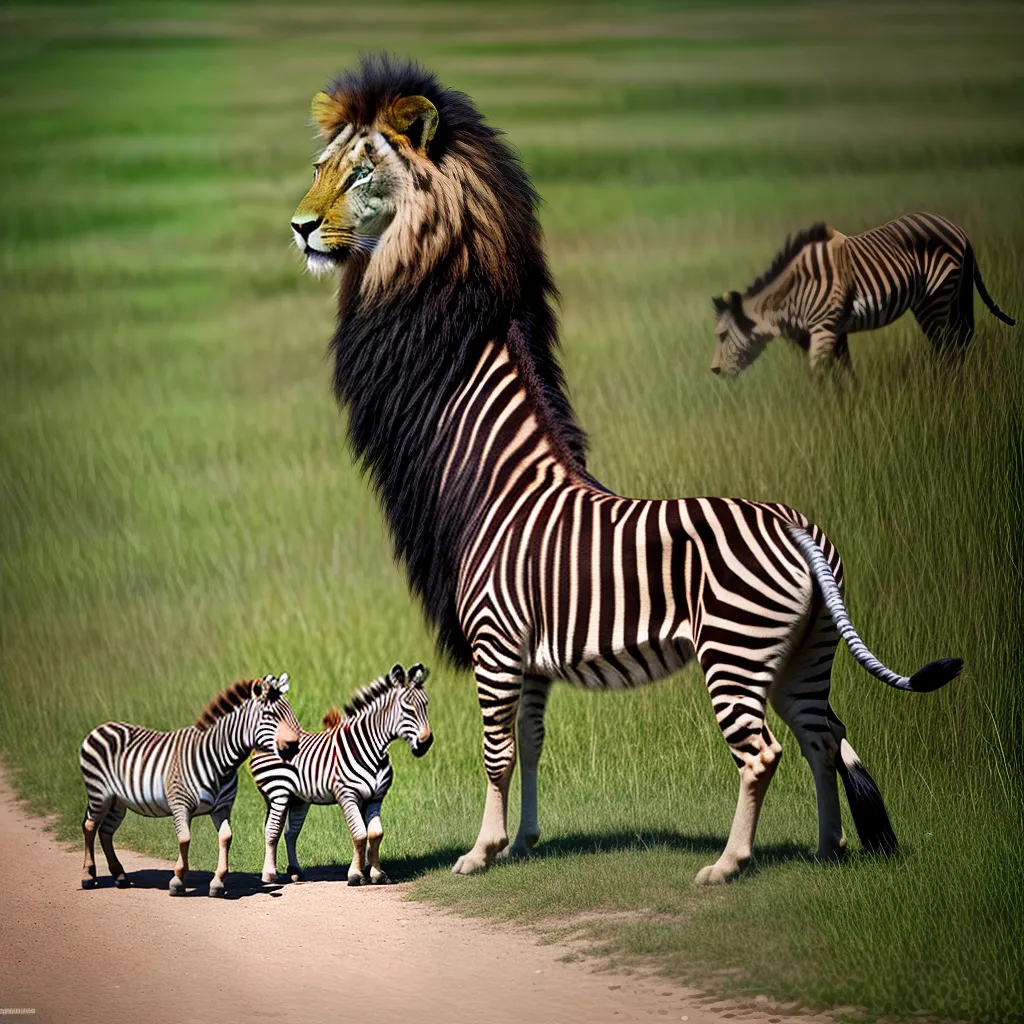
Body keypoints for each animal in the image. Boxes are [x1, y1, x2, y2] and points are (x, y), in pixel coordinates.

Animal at [79, 674, 300, 896]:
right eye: (269, 715)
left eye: (290, 712)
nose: (295, 747)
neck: (220, 763)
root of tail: (103, 726)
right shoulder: (180, 804)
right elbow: (184, 839)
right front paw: (177, 880)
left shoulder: (222, 807)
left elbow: (226, 837)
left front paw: (218, 882)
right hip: (100, 793)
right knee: (90, 826)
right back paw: (88, 876)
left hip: (117, 801)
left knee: (105, 832)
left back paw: (120, 876)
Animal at [250, 663, 432, 887]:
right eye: (408, 709)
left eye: (426, 705)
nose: (426, 743)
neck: (371, 749)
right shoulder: (347, 795)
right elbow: (360, 834)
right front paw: (355, 875)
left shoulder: (375, 797)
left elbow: (375, 834)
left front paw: (376, 874)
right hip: (278, 793)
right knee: (272, 831)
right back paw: (269, 874)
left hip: (298, 799)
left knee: (290, 833)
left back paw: (295, 871)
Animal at [290, 55, 963, 884]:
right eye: (319, 168)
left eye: (361, 172)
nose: (299, 227)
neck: (494, 484)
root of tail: (798, 529)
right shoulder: (529, 658)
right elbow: (531, 744)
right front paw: (523, 840)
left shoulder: (495, 643)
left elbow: (495, 752)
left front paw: (480, 852)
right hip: (801, 653)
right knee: (820, 735)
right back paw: (826, 847)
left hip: (734, 651)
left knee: (763, 752)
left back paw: (728, 864)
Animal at [710, 212, 1015, 377]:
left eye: (723, 336)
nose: (714, 371)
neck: (791, 297)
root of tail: (958, 229)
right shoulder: (833, 333)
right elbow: (844, 375)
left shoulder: (824, 330)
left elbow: (823, 378)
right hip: (953, 294)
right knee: (960, 338)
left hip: (936, 297)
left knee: (947, 345)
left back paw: (944, 388)